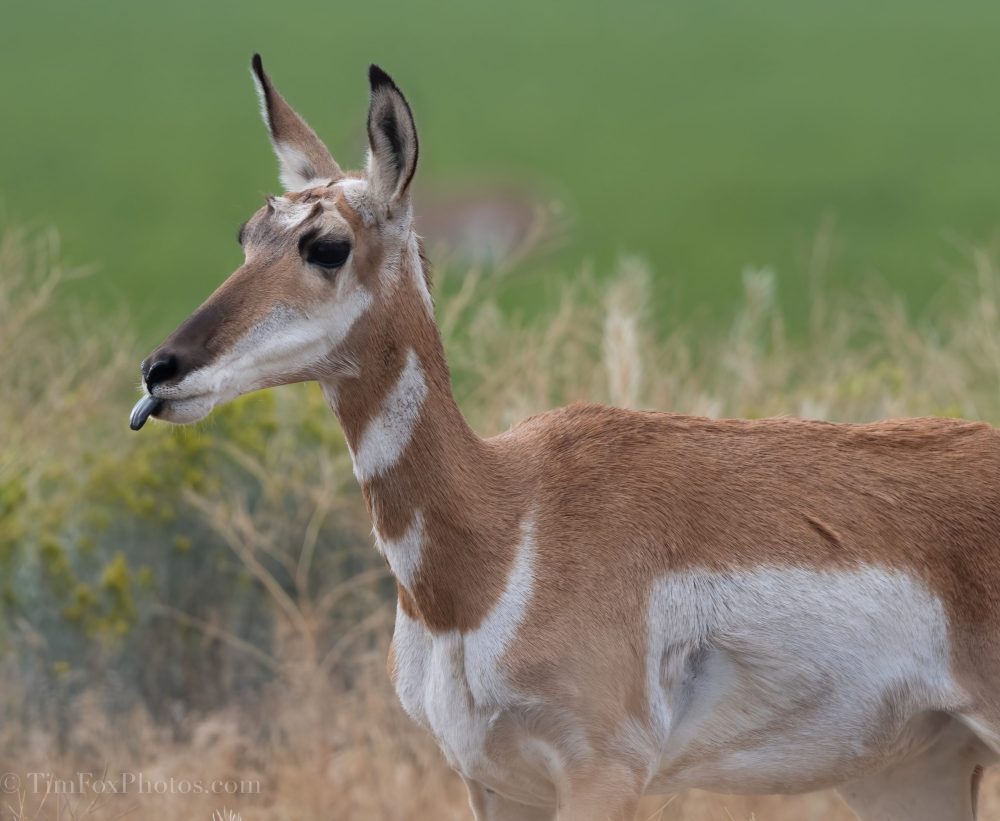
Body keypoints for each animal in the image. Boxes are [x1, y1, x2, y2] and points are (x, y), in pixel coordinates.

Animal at [131, 56, 1000, 820]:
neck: (504, 528)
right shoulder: (493, 782)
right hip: (906, 775)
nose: (160, 371)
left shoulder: (601, 774)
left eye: (327, 245)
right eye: (248, 233)